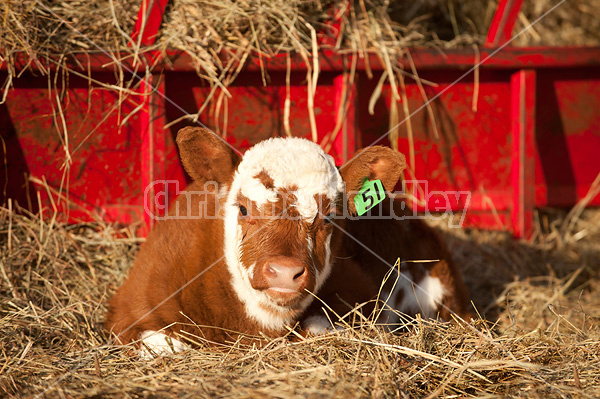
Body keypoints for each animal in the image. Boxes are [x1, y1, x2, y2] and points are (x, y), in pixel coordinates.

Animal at [105, 127, 472, 356]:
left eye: (328, 217)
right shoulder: (131, 311)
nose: (284, 272)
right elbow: (164, 344)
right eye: (243, 209)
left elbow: (318, 327)